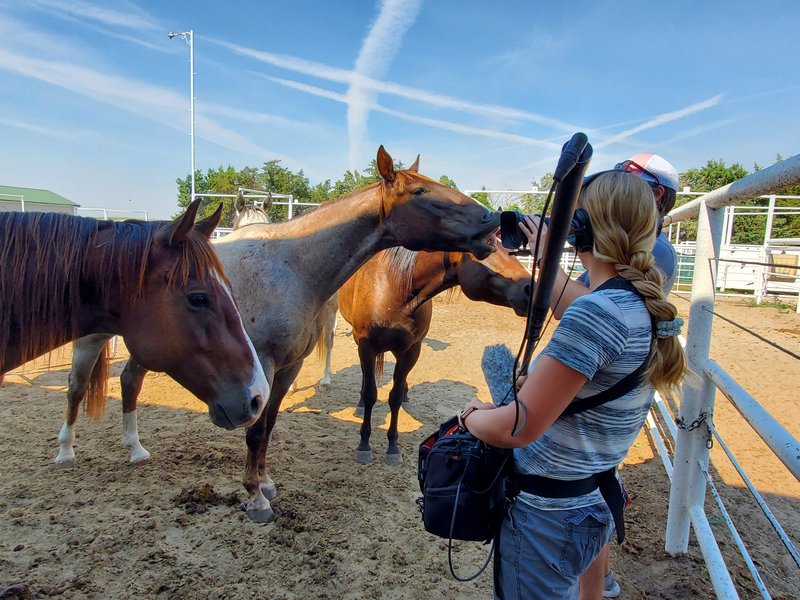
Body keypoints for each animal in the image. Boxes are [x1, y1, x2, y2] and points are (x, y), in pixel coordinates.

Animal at [338, 241, 532, 466]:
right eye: (490, 248)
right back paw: (360, 404)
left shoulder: (411, 350)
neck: (395, 288)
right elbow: (371, 394)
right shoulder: (366, 347)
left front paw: (393, 448)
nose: (529, 288)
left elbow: (394, 398)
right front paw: (364, 445)